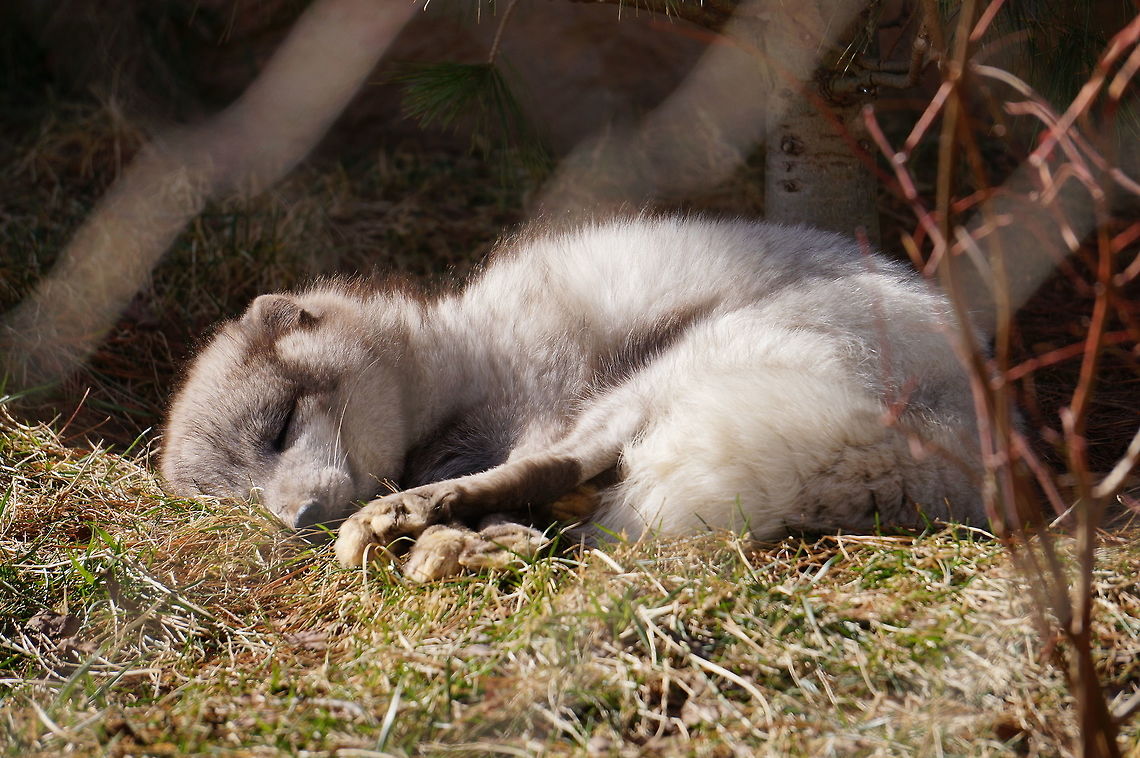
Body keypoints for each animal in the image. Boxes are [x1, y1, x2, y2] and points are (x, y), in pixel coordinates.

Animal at [161, 216, 987, 578]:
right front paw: (468, 534)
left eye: (279, 426)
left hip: (680, 360)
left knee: (568, 464)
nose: (298, 517)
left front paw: (450, 527)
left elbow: (527, 458)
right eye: (240, 501)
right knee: (572, 486)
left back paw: (415, 518)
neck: (458, 358)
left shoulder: (544, 394)